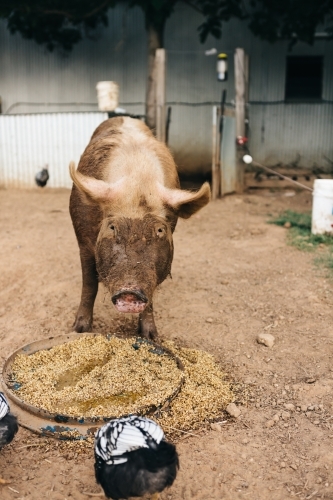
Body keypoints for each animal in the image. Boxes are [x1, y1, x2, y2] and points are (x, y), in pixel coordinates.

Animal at [69, 118, 210, 340]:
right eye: (112, 227)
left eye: (160, 230)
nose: (130, 292)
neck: (139, 180)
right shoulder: (83, 240)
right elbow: (89, 283)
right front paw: (79, 330)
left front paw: (151, 336)